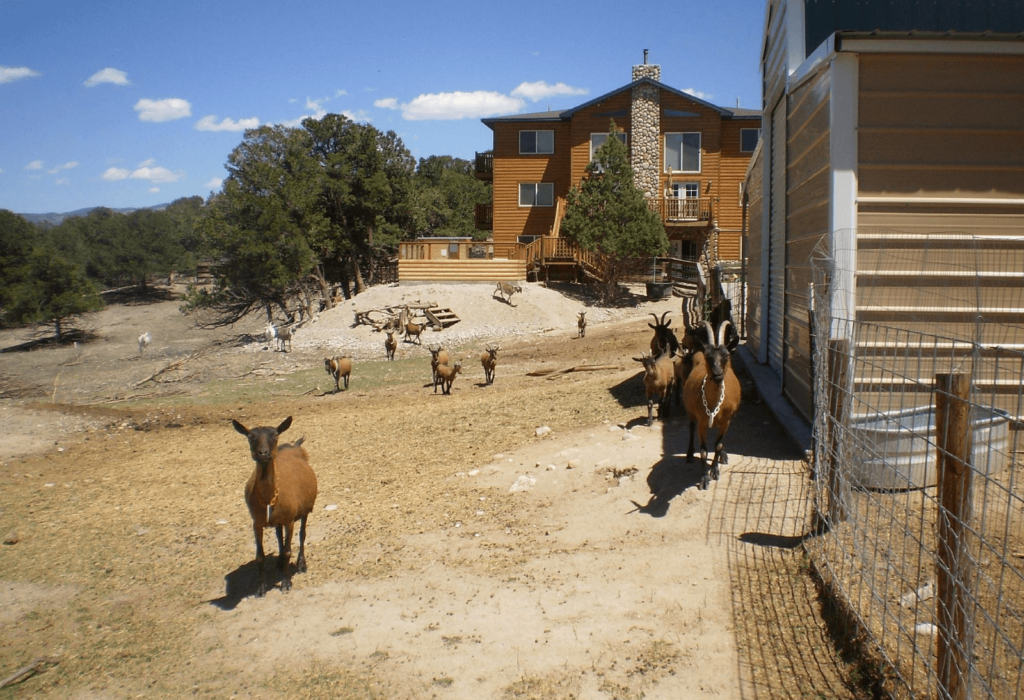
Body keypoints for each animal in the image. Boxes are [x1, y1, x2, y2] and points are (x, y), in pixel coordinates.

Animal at [234, 415, 317, 597]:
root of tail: (295, 447)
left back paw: (301, 565)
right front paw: (261, 588)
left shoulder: (289, 520)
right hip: (277, 518)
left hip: (304, 511)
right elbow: (260, 556)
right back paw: (279, 563)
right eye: (250, 436)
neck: (267, 500)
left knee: (302, 535)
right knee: (279, 535)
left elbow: (288, 551)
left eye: (275, 434)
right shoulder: (257, 523)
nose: (263, 453)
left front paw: (286, 583)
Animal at [684, 319, 741, 489]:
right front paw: (704, 478)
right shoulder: (702, 422)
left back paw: (723, 456)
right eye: (707, 355)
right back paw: (689, 454)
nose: (717, 374)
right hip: (690, 412)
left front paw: (715, 470)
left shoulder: (726, 421)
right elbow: (703, 451)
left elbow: (718, 445)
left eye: (726, 355)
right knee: (691, 427)